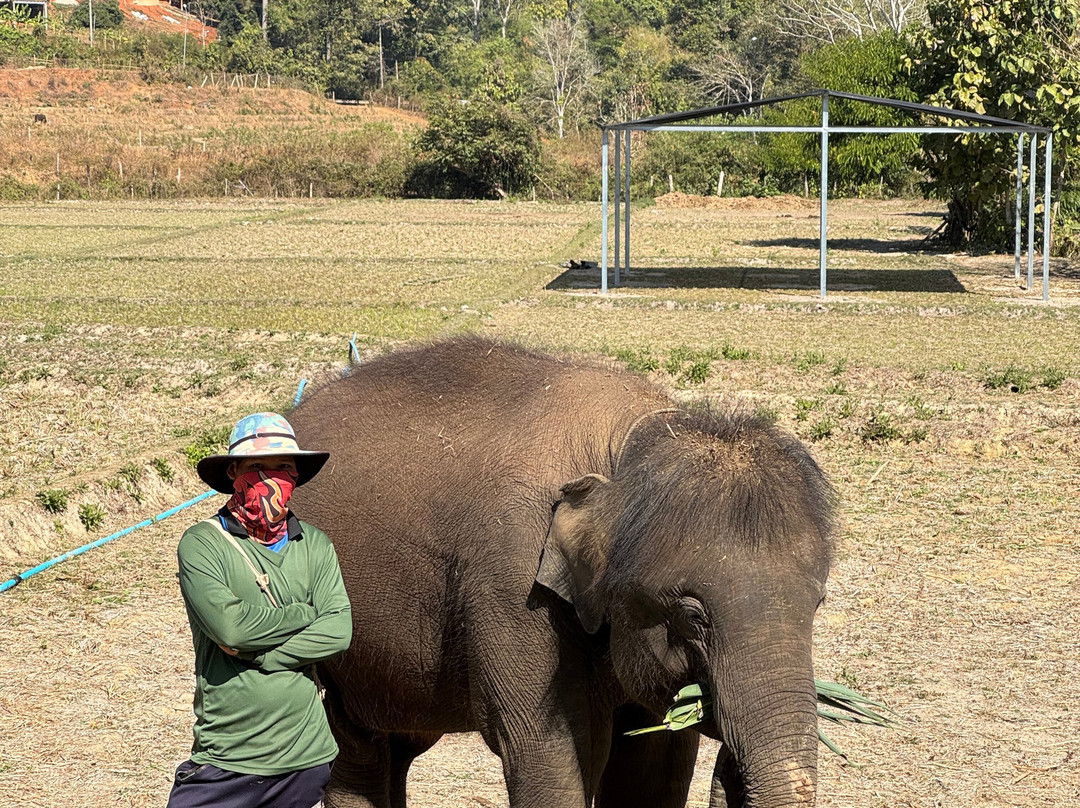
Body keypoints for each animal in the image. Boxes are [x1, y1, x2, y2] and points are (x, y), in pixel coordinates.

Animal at [287, 335, 835, 808]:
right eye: (691, 614)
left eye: (817, 605)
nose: (731, 761)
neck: (623, 447)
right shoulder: (511, 582)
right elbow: (547, 755)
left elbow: (653, 769)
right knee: (352, 748)